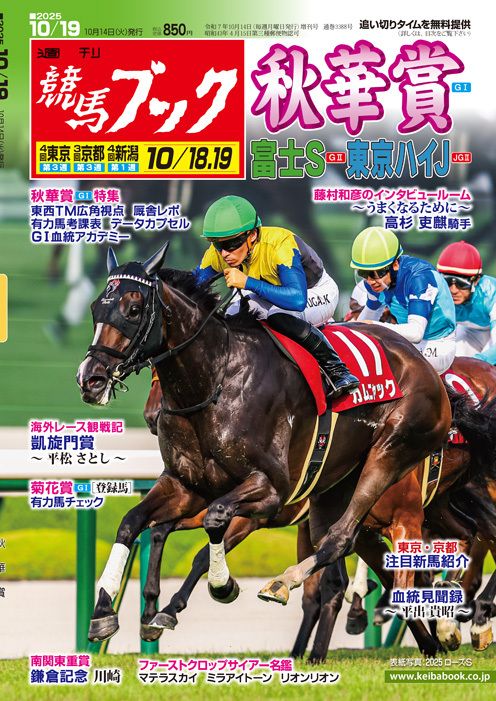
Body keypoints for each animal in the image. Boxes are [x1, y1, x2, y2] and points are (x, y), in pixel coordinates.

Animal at [76, 243, 451, 646]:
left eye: (133, 309)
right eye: (96, 309)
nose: (90, 379)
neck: (214, 381)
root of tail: (422, 363)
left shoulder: (270, 490)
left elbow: (214, 522)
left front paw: (221, 586)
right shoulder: (185, 485)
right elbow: (132, 523)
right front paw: (105, 612)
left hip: (391, 454)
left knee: (342, 540)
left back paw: (285, 583)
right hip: (335, 490)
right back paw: (429, 642)